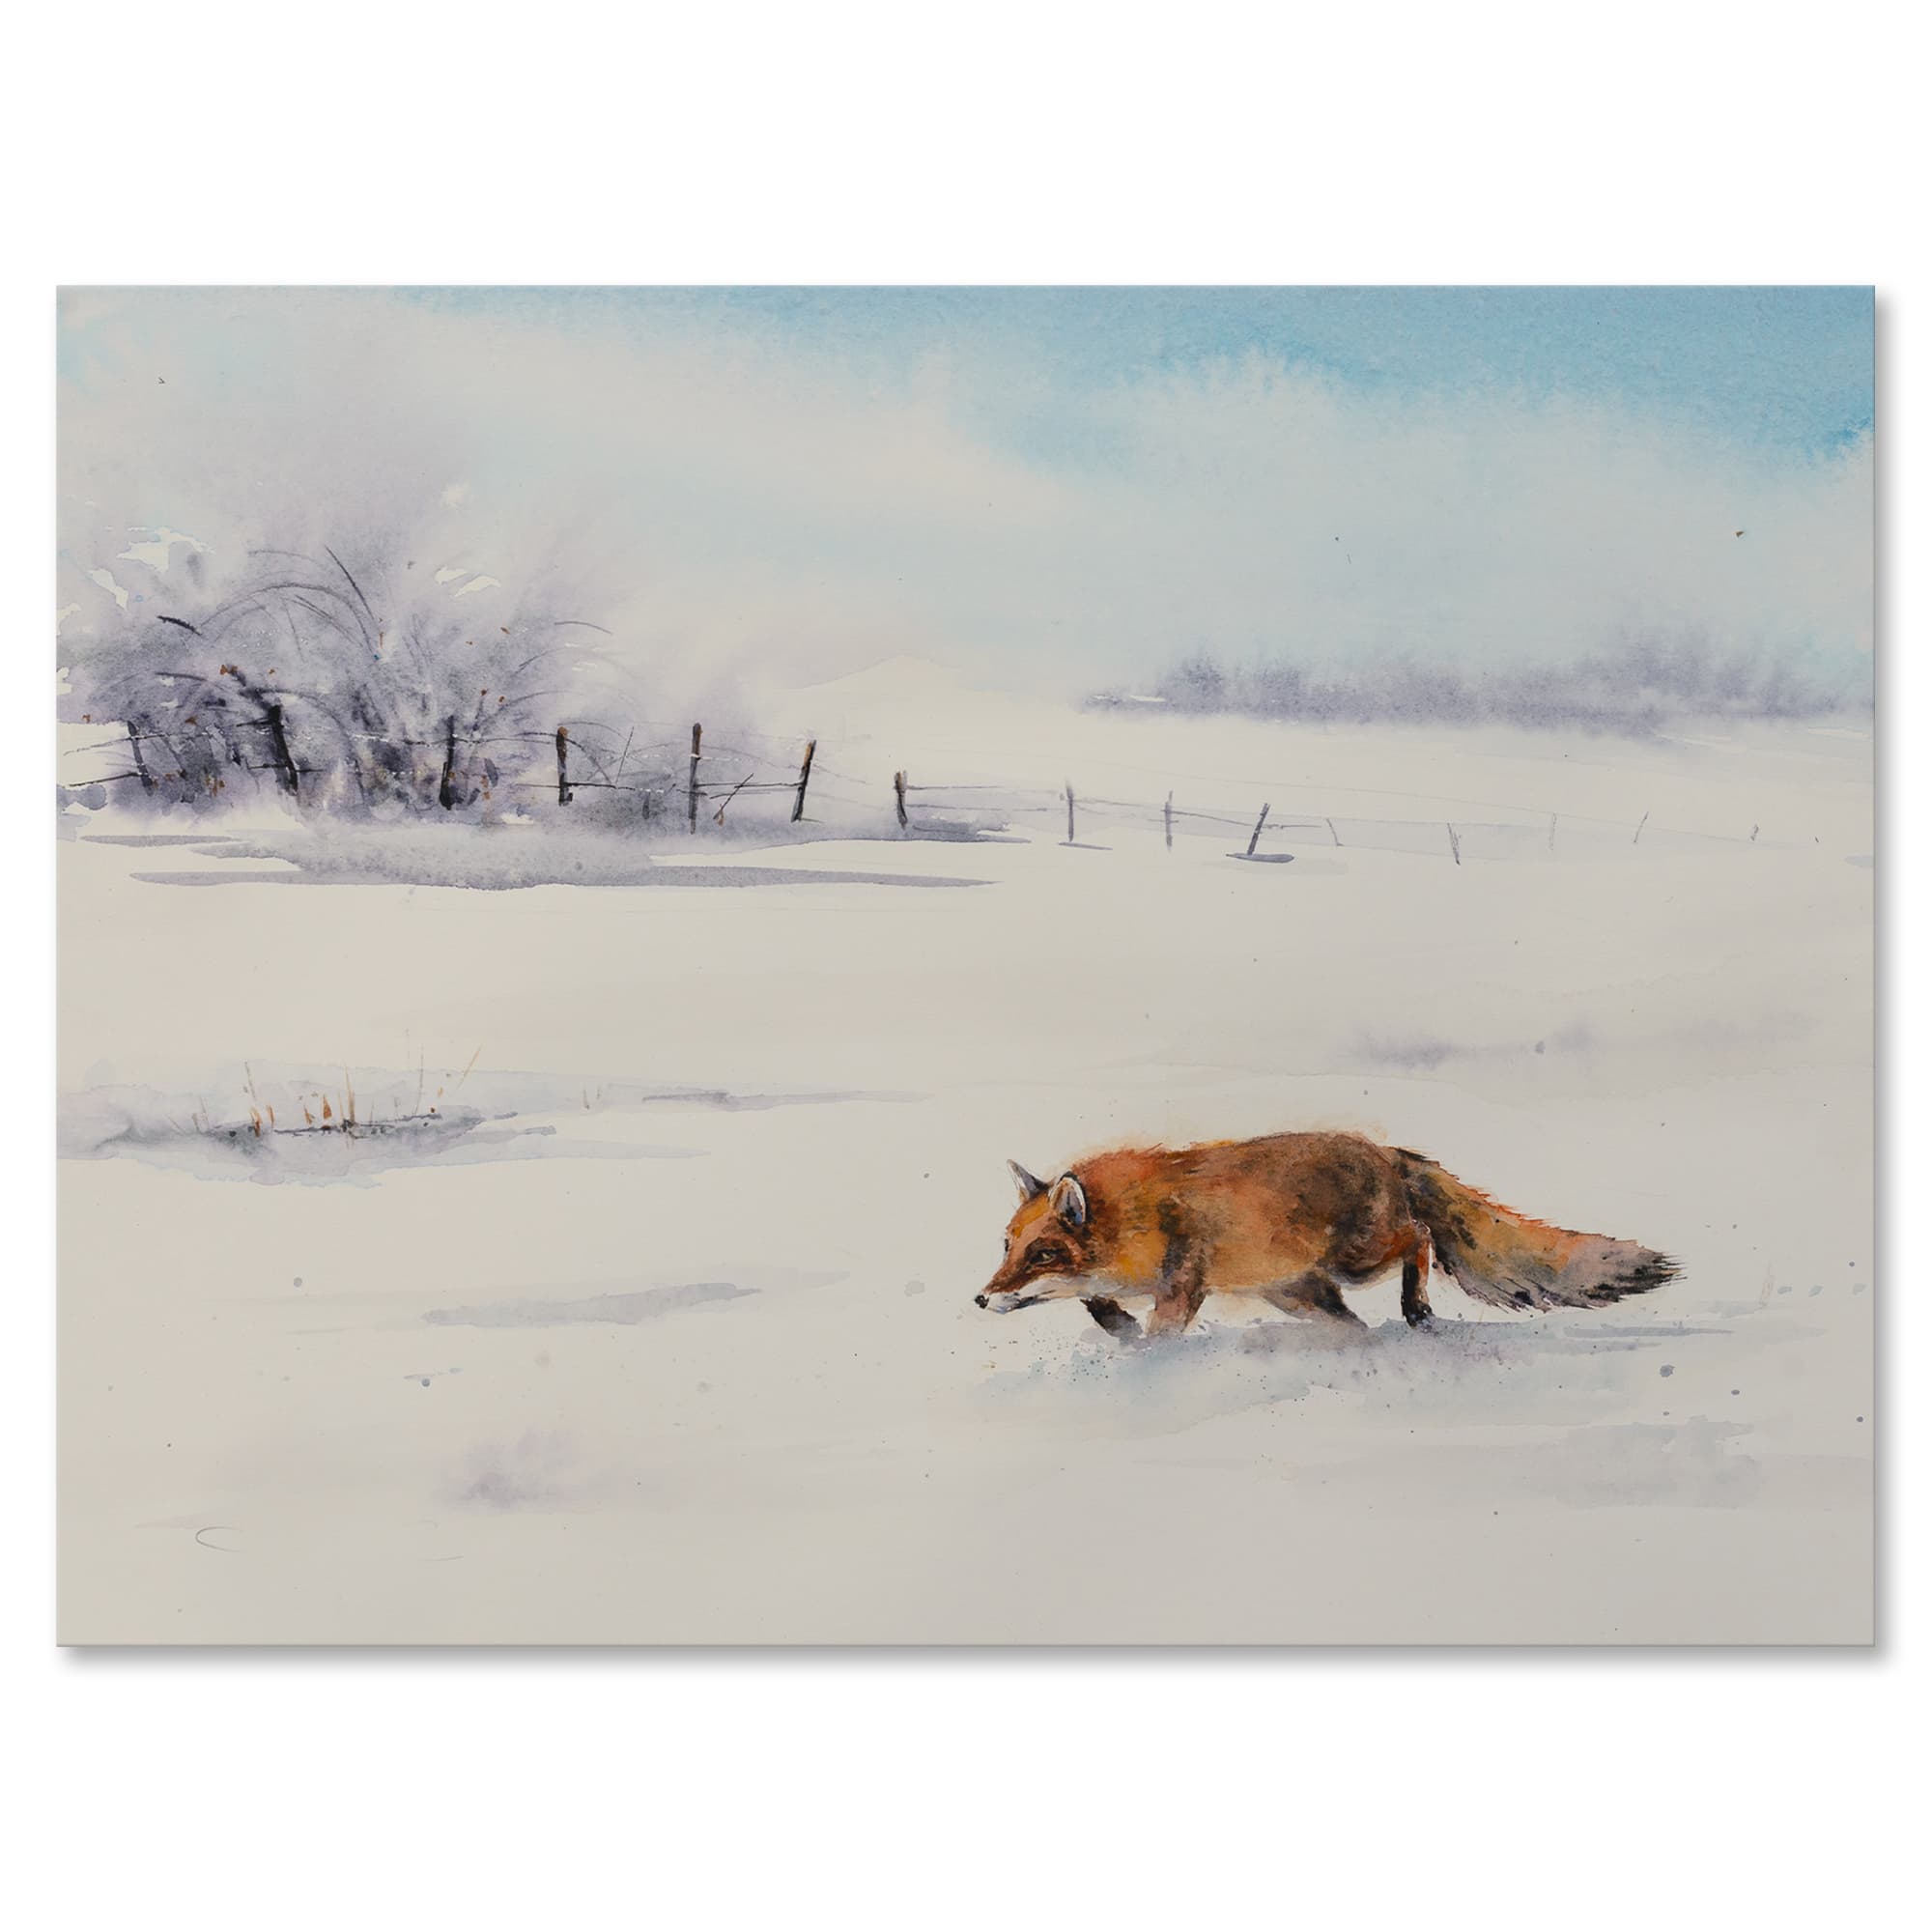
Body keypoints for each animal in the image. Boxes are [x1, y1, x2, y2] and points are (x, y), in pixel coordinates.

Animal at [976, 1131, 1676, 1341]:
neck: (1139, 1218)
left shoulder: (1183, 1279)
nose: (981, 1298)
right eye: (1006, 1247)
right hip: (1299, 1291)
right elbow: (1099, 1307)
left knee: (1419, 1237)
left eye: (1041, 1253)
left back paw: (1417, 1309)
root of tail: (1388, 1151)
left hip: (1356, 1260)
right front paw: (1117, 1329)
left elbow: (1160, 1331)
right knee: (1350, 1322)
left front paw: (1145, 1363)